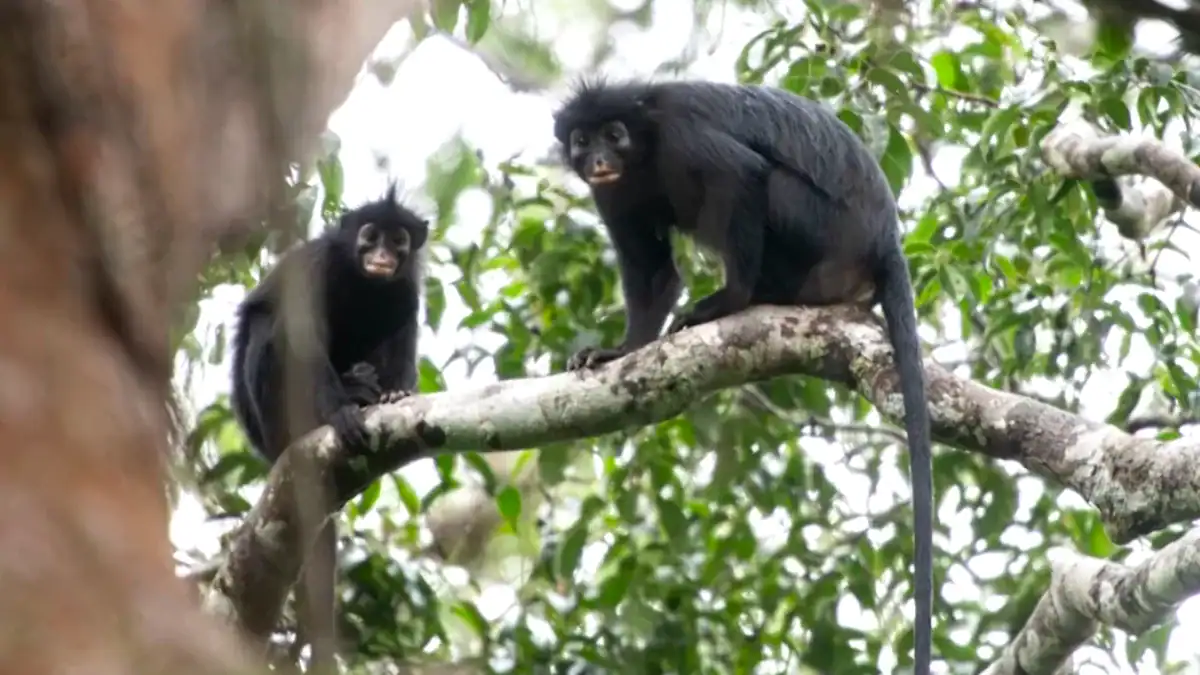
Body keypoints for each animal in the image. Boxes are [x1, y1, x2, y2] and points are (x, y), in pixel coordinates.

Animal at [229, 183, 428, 672]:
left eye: (398, 240)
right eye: (370, 235)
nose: (382, 255)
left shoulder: (406, 283)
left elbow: (405, 319)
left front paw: (395, 394)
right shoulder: (316, 267)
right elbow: (299, 337)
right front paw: (341, 414)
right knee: (271, 326)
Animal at [552, 79, 934, 675]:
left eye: (614, 135)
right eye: (582, 140)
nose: (599, 160)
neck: (645, 148)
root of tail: (884, 239)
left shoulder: (682, 136)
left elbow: (743, 176)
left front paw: (728, 301)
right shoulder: (613, 195)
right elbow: (654, 274)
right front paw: (619, 351)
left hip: (821, 230)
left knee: (766, 182)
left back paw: (753, 296)